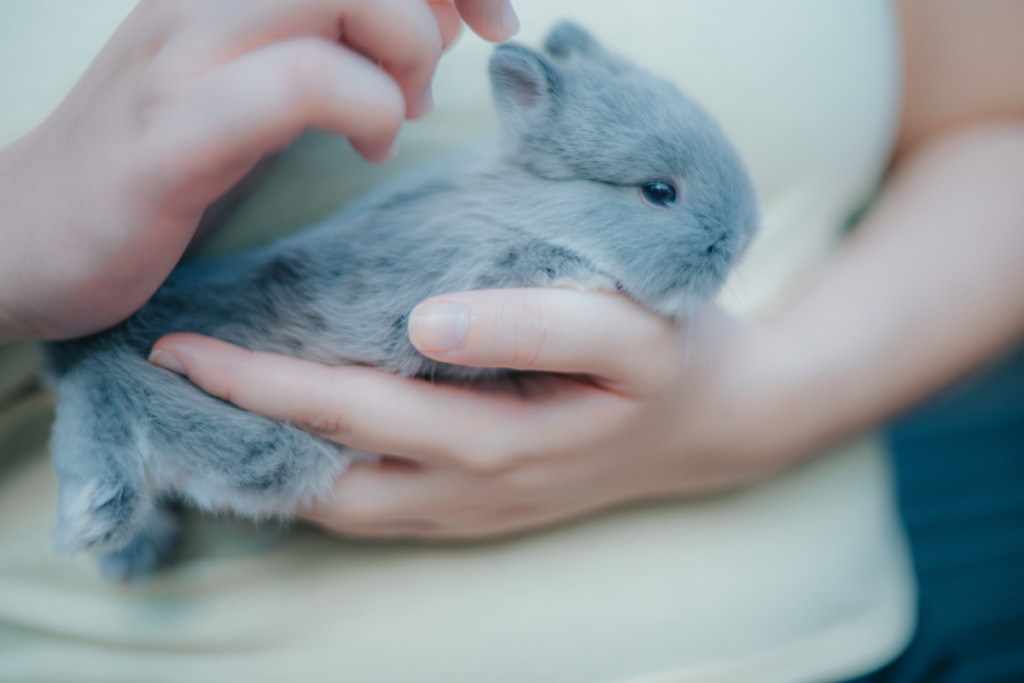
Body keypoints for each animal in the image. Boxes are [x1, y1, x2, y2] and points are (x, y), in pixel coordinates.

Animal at [41, 20, 761, 577]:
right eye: (659, 192)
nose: (744, 236)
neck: (522, 203)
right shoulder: (456, 275)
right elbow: (522, 263)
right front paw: (581, 276)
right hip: (268, 442)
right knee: (102, 385)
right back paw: (95, 511)